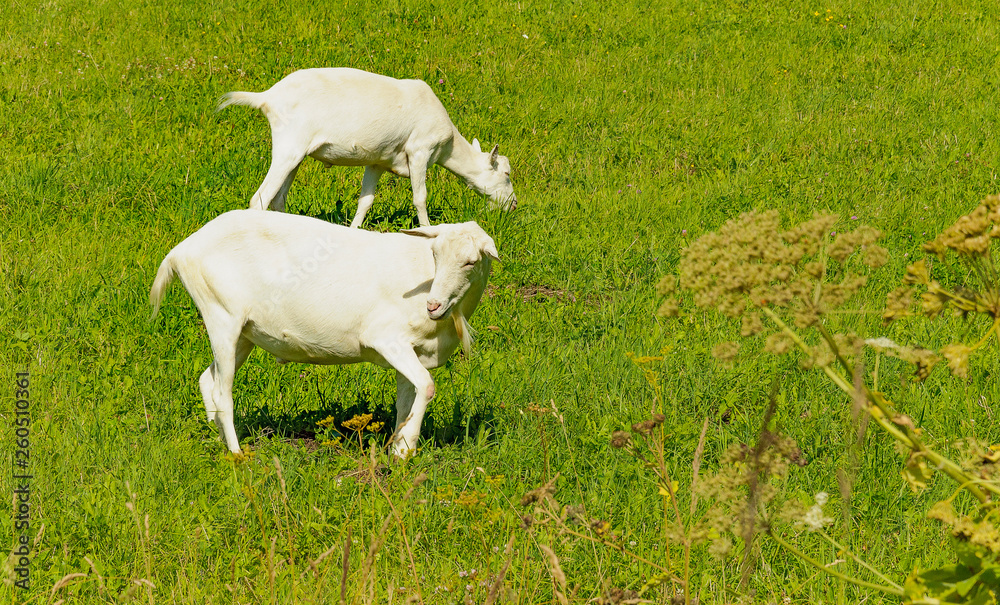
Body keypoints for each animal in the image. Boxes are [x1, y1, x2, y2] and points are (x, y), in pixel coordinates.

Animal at [149, 209, 498, 458]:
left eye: (470, 262)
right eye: (435, 254)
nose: (433, 305)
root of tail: (181, 251)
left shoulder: (411, 350)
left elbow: (408, 398)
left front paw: (398, 449)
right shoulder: (386, 338)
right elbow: (426, 387)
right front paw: (407, 448)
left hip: (243, 333)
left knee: (208, 379)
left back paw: (216, 434)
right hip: (221, 315)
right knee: (224, 391)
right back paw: (236, 453)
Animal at [218, 67, 517, 227]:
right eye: (506, 173)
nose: (513, 205)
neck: (448, 145)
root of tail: (267, 97)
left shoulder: (379, 161)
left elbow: (366, 201)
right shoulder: (420, 151)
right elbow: (420, 197)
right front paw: (428, 230)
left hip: (296, 155)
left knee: (278, 198)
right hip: (289, 146)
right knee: (260, 199)